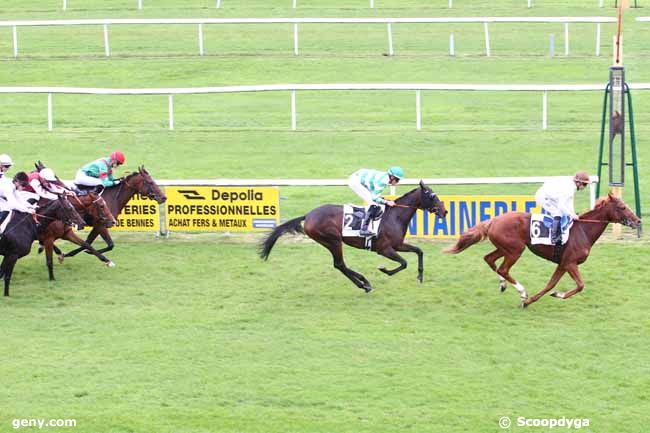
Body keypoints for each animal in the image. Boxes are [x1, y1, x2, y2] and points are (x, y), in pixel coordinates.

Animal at [258, 181, 446, 292]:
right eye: (432, 195)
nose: (445, 211)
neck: (395, 215)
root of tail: (308, 215)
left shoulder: (398, 245)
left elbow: (419, 251)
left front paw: (420, 277)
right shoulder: (384, 249)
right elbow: (403, 263)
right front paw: (384, 270)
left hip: (331, 242)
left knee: (340, 265)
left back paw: (364, 283)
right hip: (333, 240)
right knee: (339, 264)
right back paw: (364, 284)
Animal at [442, 192, 640, 308]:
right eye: (622, 207)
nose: (638, 220)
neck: (583, 230)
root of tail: (493, 220)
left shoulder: (563, 263)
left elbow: (550, 284)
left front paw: (534, 299)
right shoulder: (570, 262)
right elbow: (580, 285)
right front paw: (548, 295)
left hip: (505, 248)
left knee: (490, 260)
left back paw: (504, 285)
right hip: (515, 250)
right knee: (503, 269)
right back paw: (521, 291)